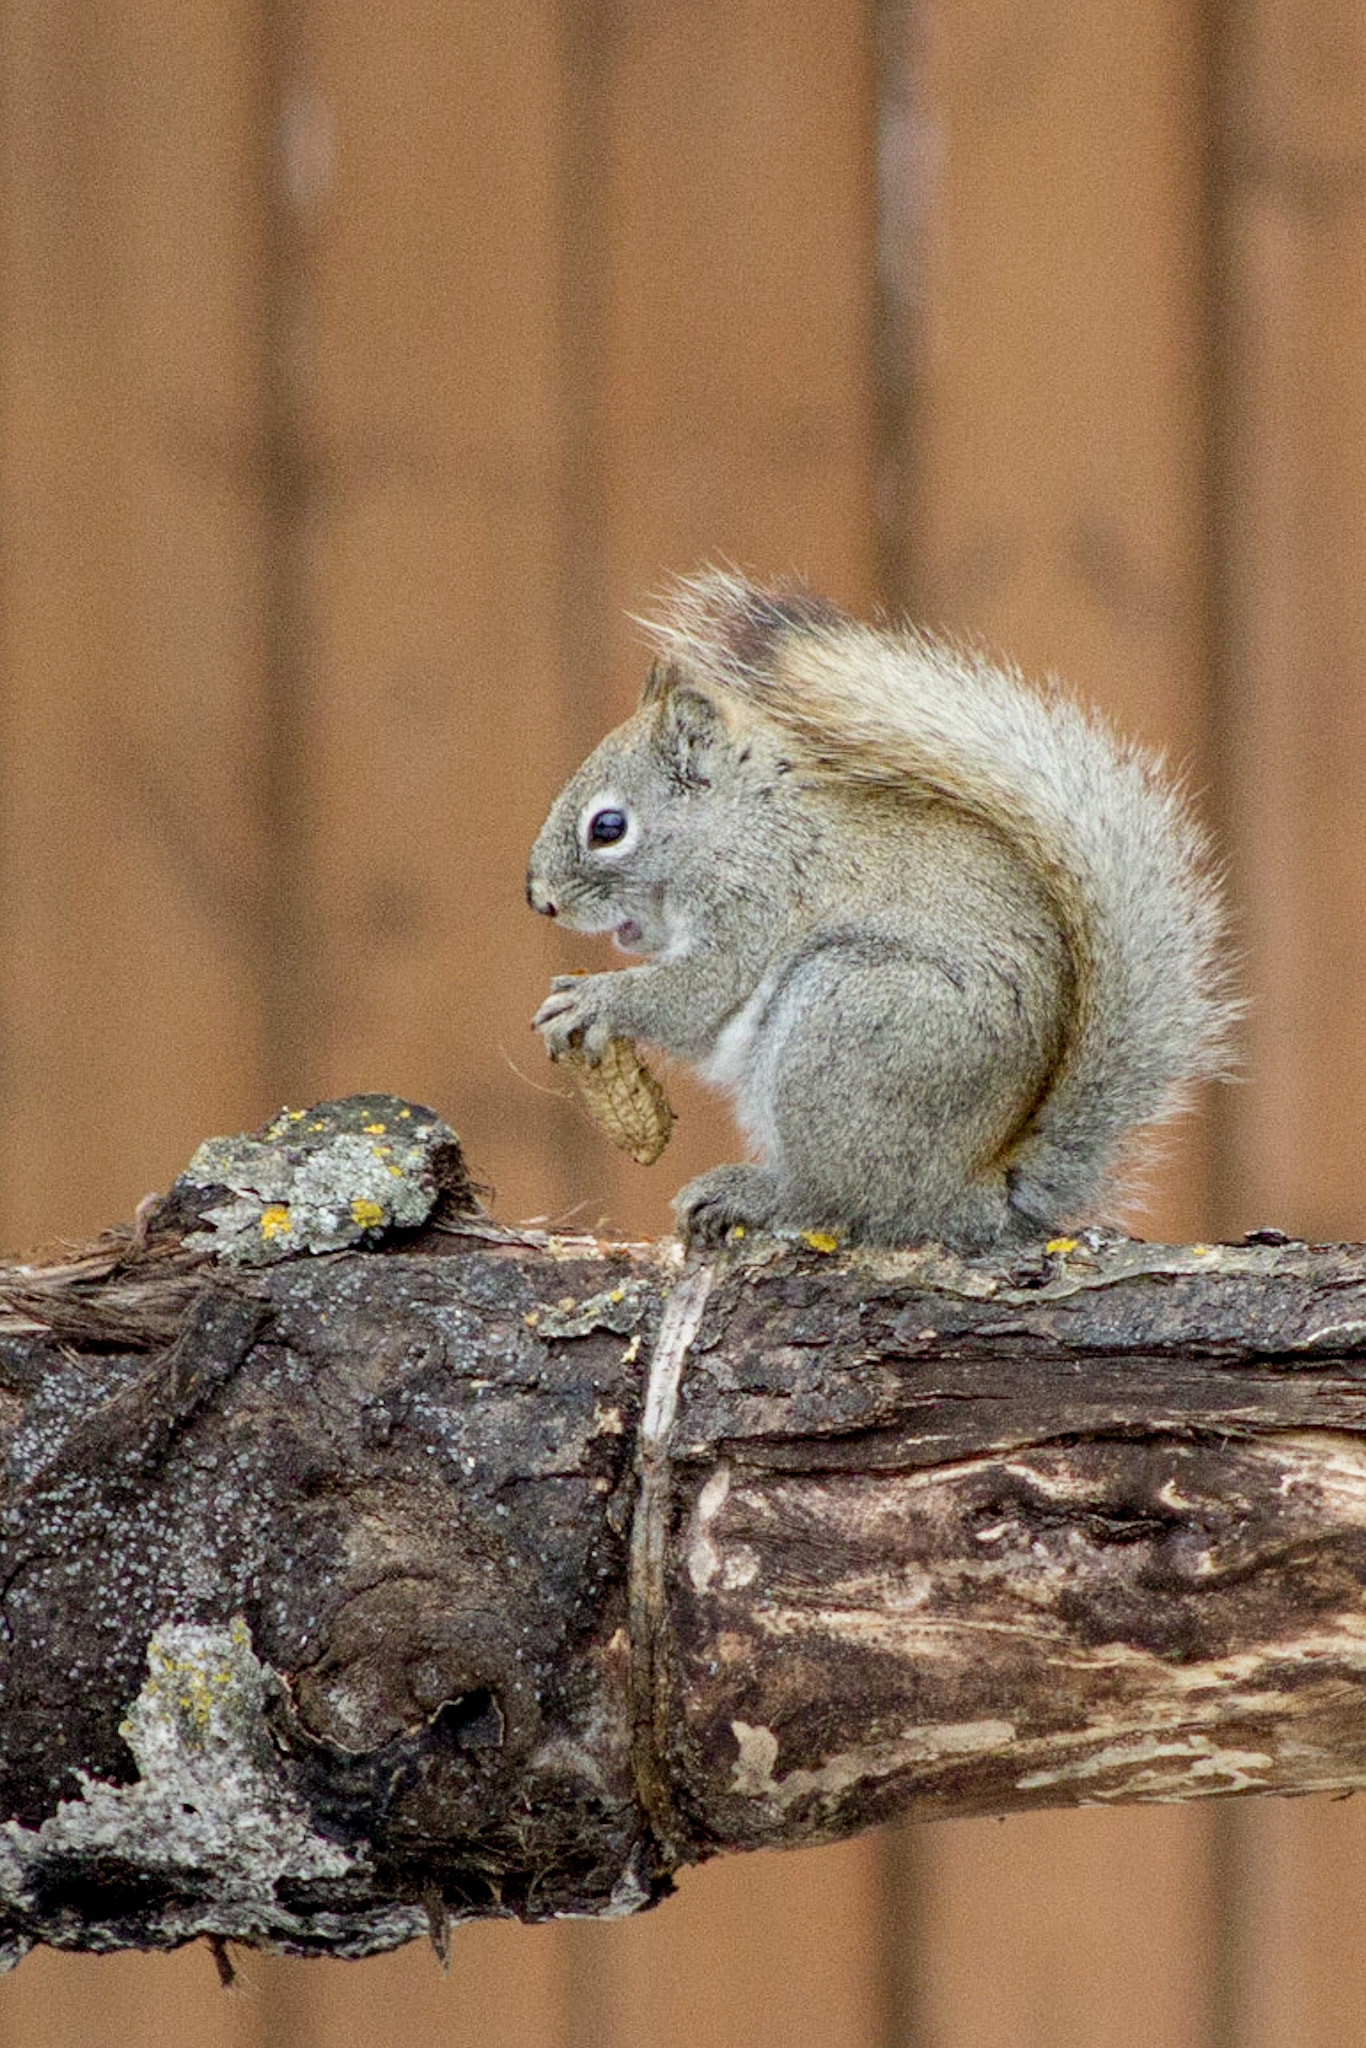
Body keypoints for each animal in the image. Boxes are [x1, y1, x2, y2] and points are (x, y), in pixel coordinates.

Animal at [528, 569, 1236, 1253]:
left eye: (609, 827)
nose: (539, 899)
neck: (741, 825)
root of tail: (969, 1193)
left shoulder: (758, 900)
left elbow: (697, 995)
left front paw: (593, 1000)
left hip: (845, 1022)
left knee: (838, 1198)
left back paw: (754, 1194)